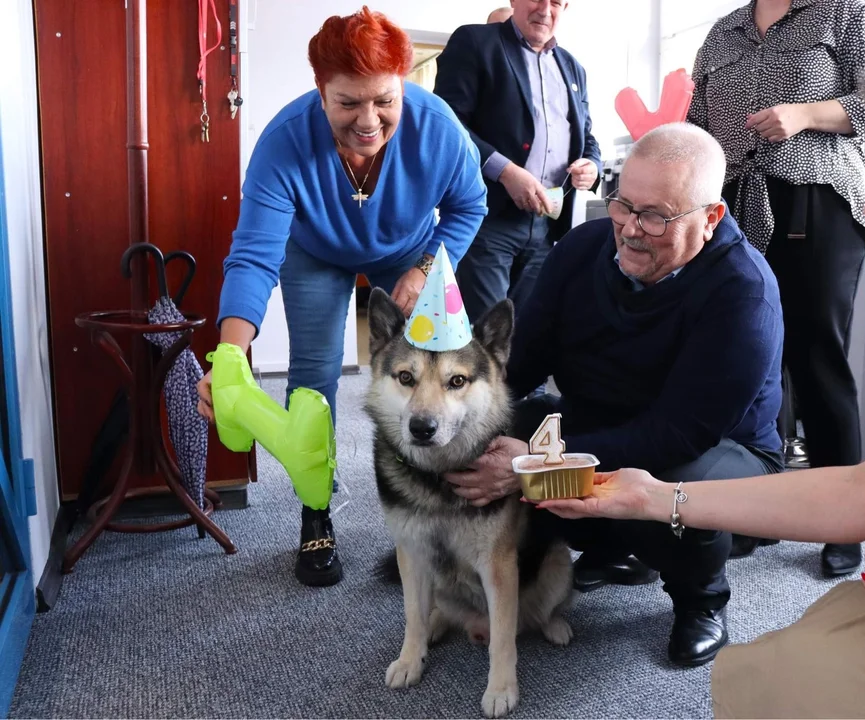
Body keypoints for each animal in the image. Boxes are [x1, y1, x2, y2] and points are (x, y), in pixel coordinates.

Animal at [364, 288, 572, 720]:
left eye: (456, 381)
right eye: (406, 378)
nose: (421, 428)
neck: (439, 477)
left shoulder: (498, 567)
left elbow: (503, 640)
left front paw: (501, 689)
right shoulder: (411, 553)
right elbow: (412, 614)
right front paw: (410, 659)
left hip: (558, 560)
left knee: (535, 613)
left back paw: (553, 625)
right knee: (436, 611)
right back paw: (436, 626)